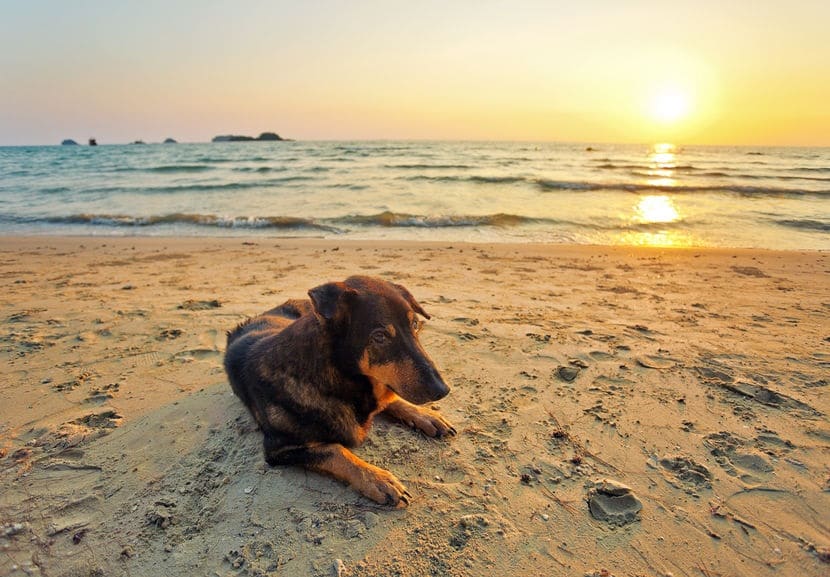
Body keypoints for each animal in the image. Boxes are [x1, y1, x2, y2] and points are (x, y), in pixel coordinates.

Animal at [223, 274, 456, 504]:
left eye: (415, 324)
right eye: (379, 336)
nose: (443, 390)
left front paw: (423, 415)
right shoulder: (279, 448)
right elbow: (336, 450)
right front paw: (377, 479)